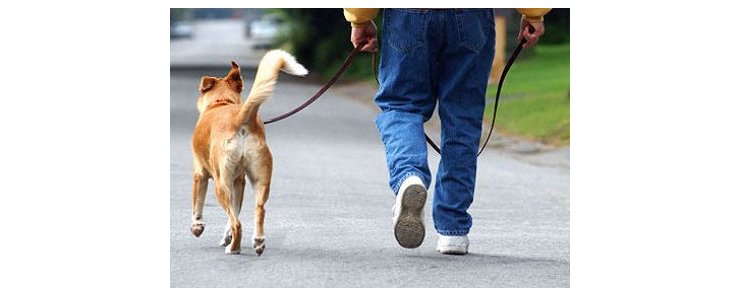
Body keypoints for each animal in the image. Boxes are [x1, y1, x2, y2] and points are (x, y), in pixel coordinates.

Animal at [191, 49, 310, 253]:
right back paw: (258, 241)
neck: (222, 102)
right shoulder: (240, 181)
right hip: (259, 180)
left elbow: (198, 205)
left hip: (221, 184)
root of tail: (239, 118)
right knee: (259, 209)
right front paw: (226, 236)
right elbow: (235, 212)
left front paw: (197, 226)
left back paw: (234, 249)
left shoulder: (200, 174)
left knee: (237, 223)